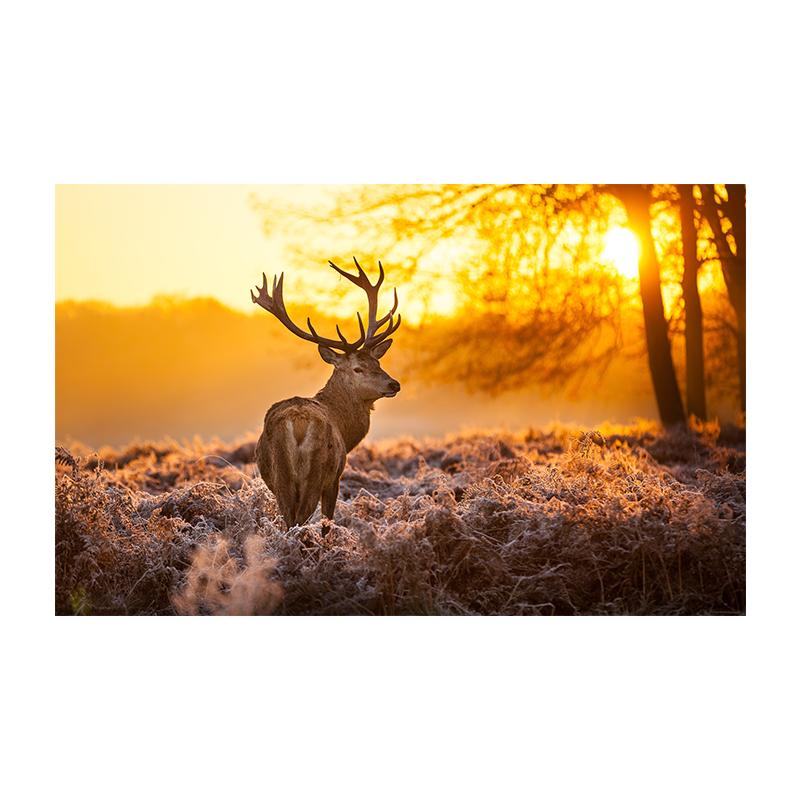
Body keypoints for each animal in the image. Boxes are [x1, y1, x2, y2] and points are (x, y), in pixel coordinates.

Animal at [251, 258, 401, 530]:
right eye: (358, 368)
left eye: (378, 363)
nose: (394, 384)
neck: (345, 428)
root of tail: (298, 423)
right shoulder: (335, 479)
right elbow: (327, 523)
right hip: (317, 472)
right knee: (300, 520)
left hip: (281, 478)